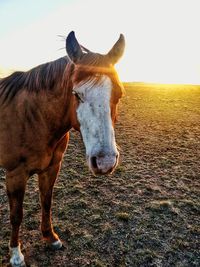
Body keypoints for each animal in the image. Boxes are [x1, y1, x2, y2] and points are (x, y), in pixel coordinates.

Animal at [0, 31, 125, 267]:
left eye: (120, 94)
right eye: (76, 94)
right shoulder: (15, 175)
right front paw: (16, 254)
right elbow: (16, 214)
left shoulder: (52, 168)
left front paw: (50, 237)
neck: (34, 117)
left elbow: (46, 202)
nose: (104, 162)